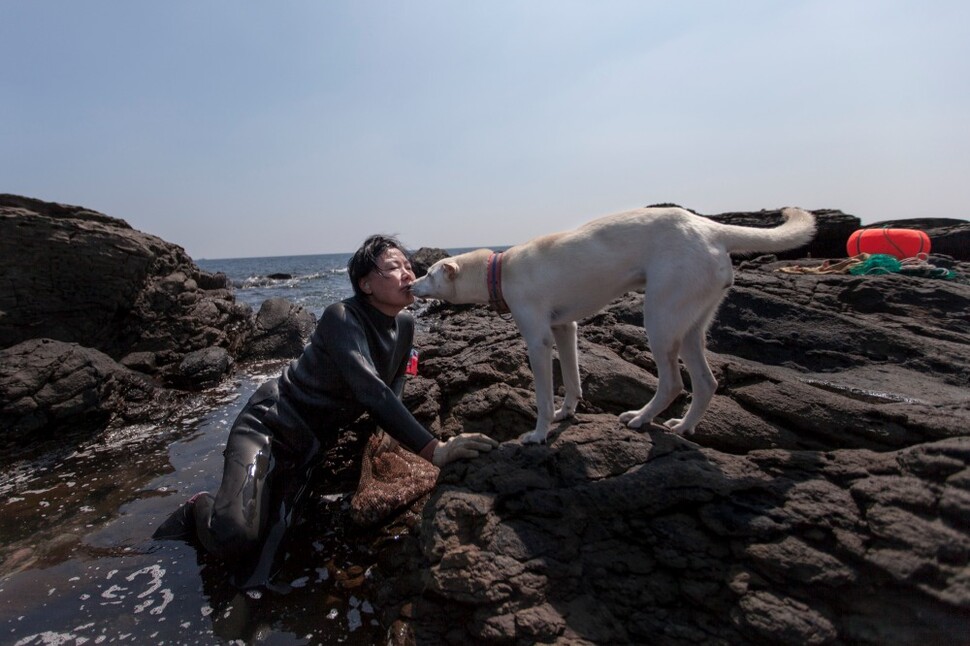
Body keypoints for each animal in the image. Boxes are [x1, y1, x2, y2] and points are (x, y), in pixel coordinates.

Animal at [408, 208, 808, 446]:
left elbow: (542, 395)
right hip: (690, 323)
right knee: (706, 382)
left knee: (673, 382)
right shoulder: (564, 328)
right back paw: (682, 426)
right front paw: (566, 413)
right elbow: (571, 379)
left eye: (429, 273)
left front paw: (538, 433)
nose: (411, 284)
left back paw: (641, 418)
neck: (499, 269)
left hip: (661, 318)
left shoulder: (538, 340)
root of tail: (709, 227)